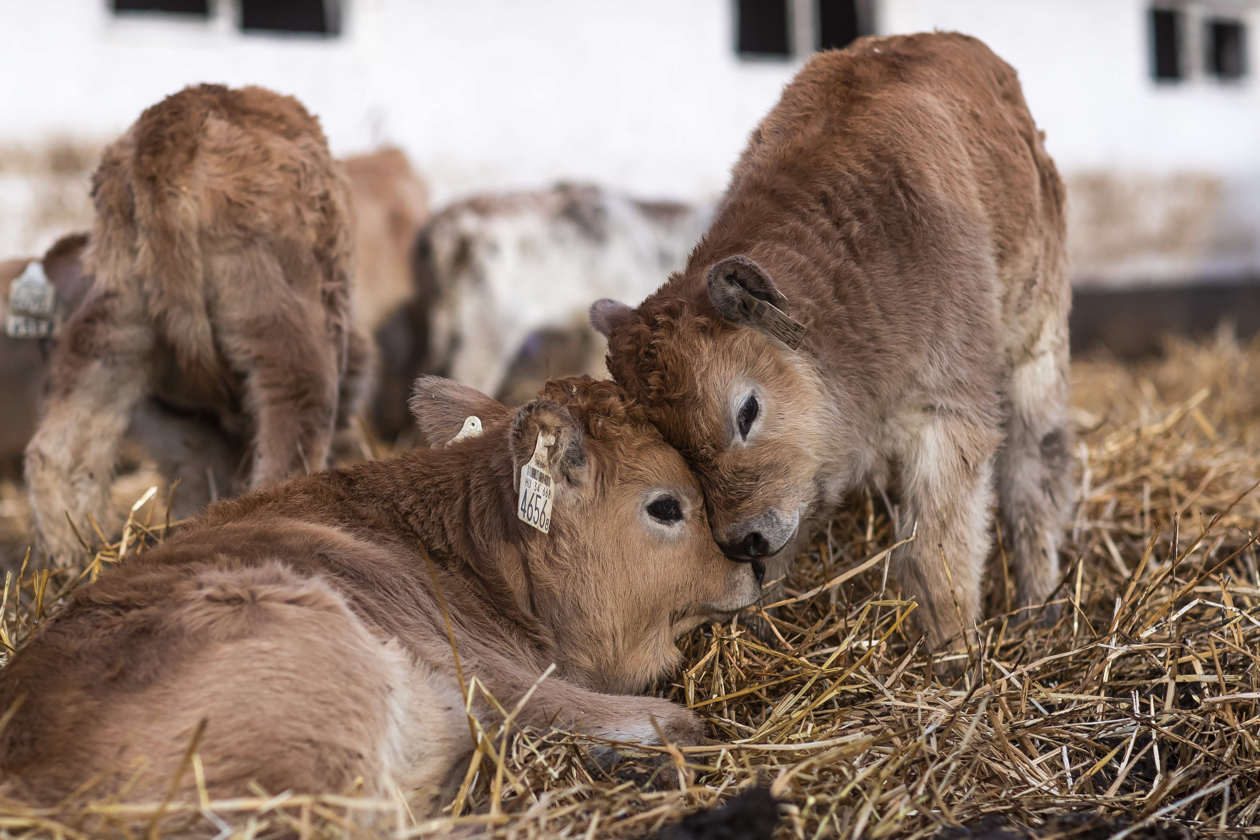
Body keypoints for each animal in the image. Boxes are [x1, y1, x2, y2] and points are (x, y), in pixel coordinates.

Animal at [594, 31, 1068, 664]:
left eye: (747, 410)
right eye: (669, 445)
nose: (744, 538)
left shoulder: (949, 417)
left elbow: (937, 552)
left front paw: (951, 653)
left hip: (1036, 356)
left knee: (1034, 481)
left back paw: (1041, 612)